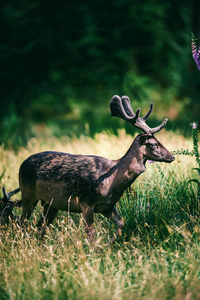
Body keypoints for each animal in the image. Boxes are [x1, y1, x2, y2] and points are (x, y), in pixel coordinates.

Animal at [3, 96, 175, 241]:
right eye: (153, 144)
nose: (172, 156)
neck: (111, 181)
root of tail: (23, 163)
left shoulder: (107, 206)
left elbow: (121, 223)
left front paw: (109, 243)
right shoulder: (86, 203)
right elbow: (90, 236)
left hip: (50, 204)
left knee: (40, 227)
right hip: (28, 193)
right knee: (21, 223)